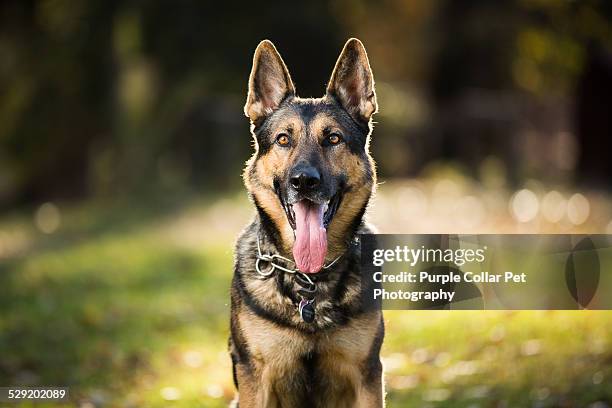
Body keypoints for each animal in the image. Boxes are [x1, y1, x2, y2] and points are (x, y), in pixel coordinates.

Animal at [230, 39, 382, 408]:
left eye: (334, 139)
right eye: (284, 139)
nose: (303, 181)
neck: (309, 281)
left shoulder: (368, 375)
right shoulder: (254, 378)